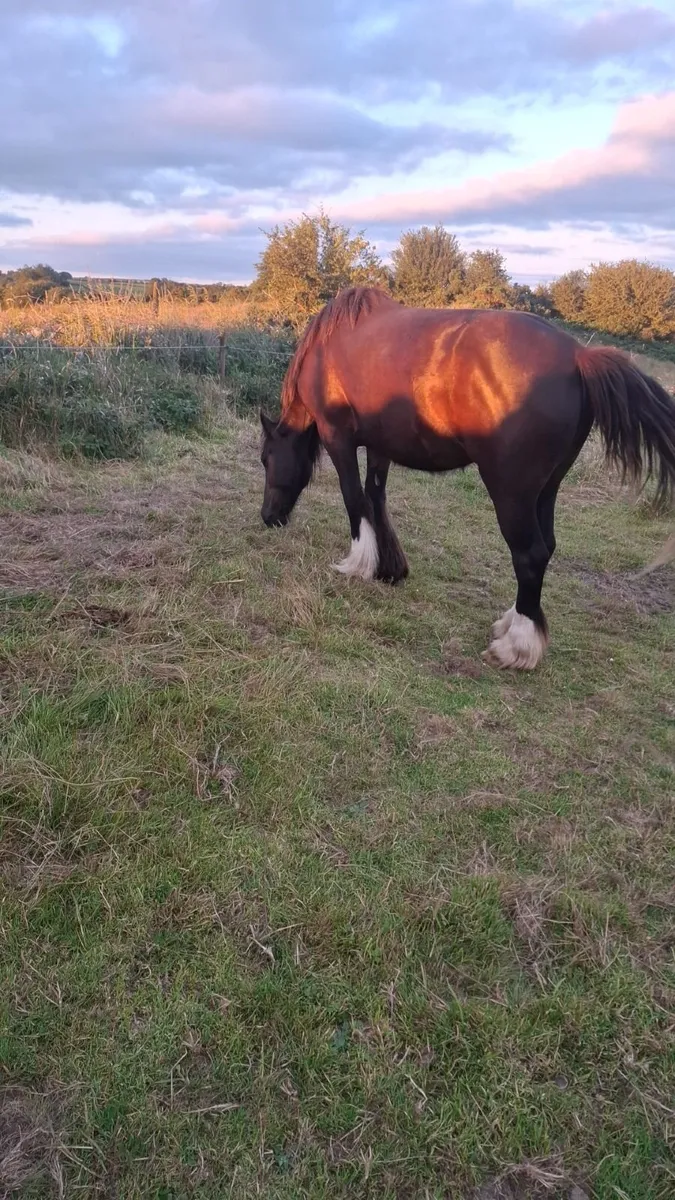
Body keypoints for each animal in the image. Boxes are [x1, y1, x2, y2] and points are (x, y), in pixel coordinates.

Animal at [259, 287, 675, 670]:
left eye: (266, 459)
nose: (268, 517)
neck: (326, 350)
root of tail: (578, 356)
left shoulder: (339, 439)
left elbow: (354, 499)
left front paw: (358, 564)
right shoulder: (381, 446)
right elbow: (376, 498)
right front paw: (390, 568)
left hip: (511, 491)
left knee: (530, 553)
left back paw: (515, 646)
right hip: (546, 489)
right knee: (548, 546)